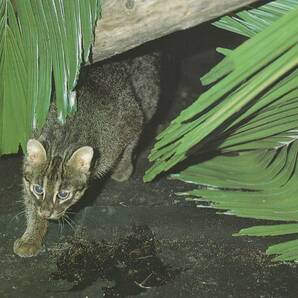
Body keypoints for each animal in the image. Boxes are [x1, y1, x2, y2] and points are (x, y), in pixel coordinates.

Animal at [14, 52, 161, 258]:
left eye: (63, 194)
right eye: (39, 189)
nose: (46, 213)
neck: (62, 141)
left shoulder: (132, 117)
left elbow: (131, 143)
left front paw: (123, 168)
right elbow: (30, 201)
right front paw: (31, 236)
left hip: (148, 95)